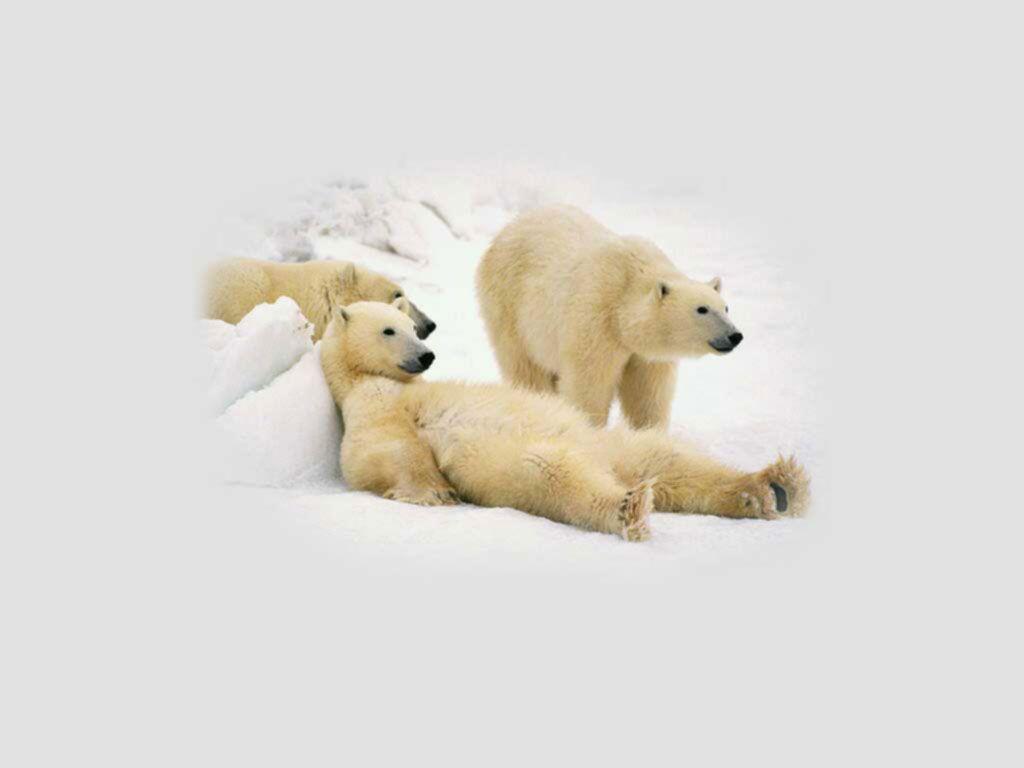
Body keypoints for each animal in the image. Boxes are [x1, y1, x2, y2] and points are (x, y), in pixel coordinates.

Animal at [320, 301, 808, 541]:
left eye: (411, 328)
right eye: (389, 330)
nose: (426, 355)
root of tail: (609, 466)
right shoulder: (369, 405)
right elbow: (381, 450)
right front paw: (435, 492)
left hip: (609, 442)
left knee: (667, 460)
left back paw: (773, 487)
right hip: (519, 459)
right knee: (552, 473)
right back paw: (629, 506)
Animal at [475, 205, 743, 430]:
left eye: (726, 307)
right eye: (702, 309)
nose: (735, 335)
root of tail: (509, 227)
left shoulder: (646, 355)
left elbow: (647, 393)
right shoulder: (596, 319)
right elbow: (589, 384)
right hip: (510, 306)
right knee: (526, 368)